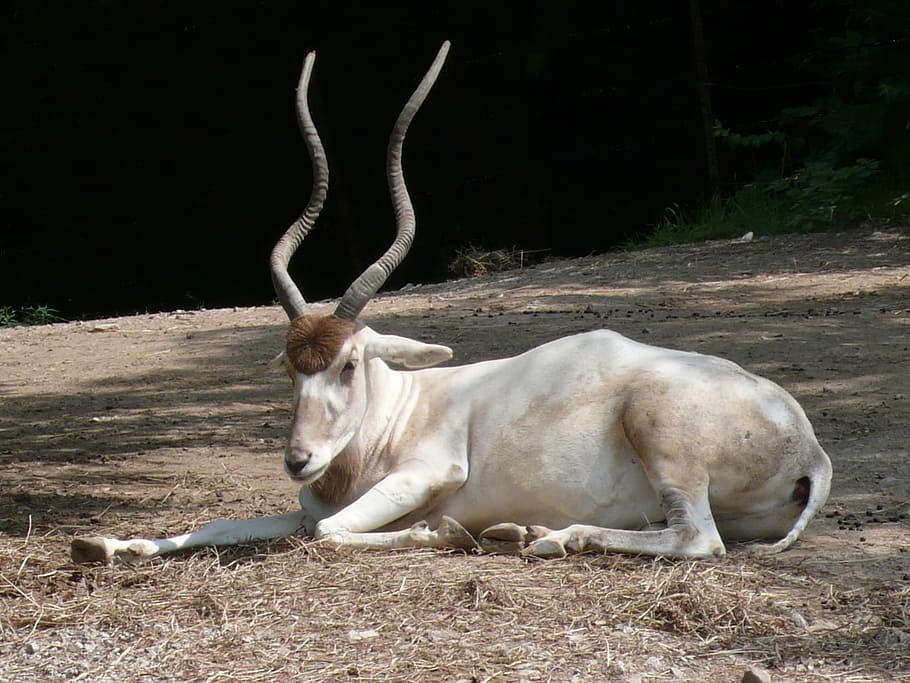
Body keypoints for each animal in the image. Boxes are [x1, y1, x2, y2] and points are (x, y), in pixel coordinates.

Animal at [75, 41, 836, 568]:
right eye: (290, 368)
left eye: (348, 364)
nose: (297, 460)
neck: (396, 411)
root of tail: (810, 445)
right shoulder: (306, 501)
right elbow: (227, 525)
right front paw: (109, 545)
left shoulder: (430, 472)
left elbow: (327, 530)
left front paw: (439, 531)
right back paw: (519, 529)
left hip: (661, 436)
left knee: (697, 539)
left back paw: (546, 537)